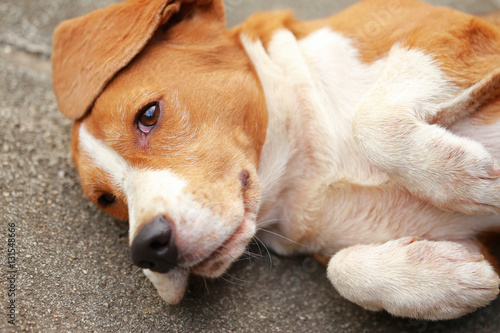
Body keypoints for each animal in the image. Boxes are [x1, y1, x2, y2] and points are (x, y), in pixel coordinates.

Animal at [49, 0, 500, 320]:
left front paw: (464, 177)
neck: (305, 170)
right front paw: (441, 280)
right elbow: (342, 270)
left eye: (148, 114)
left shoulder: (448, 33)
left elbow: (369, 120)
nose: (148, 250)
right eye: (107, 200)